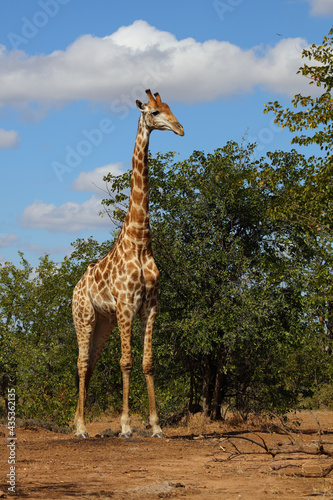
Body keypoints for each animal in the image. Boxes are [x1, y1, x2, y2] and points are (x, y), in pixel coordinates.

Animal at [71, 90, 184, 438]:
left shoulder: (150, 306)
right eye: (155, 111)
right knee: (81, 363)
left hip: (102, 321)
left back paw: (77, 424)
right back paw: (80, 428)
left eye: (171, 108)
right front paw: (125, 426)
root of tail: (75, 287)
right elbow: (126, 362)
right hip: (83, 317)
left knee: (91, 363)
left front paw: (156, 426)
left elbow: (147, 362)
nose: (180, 128)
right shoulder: (125, 305)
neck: (140, 240)